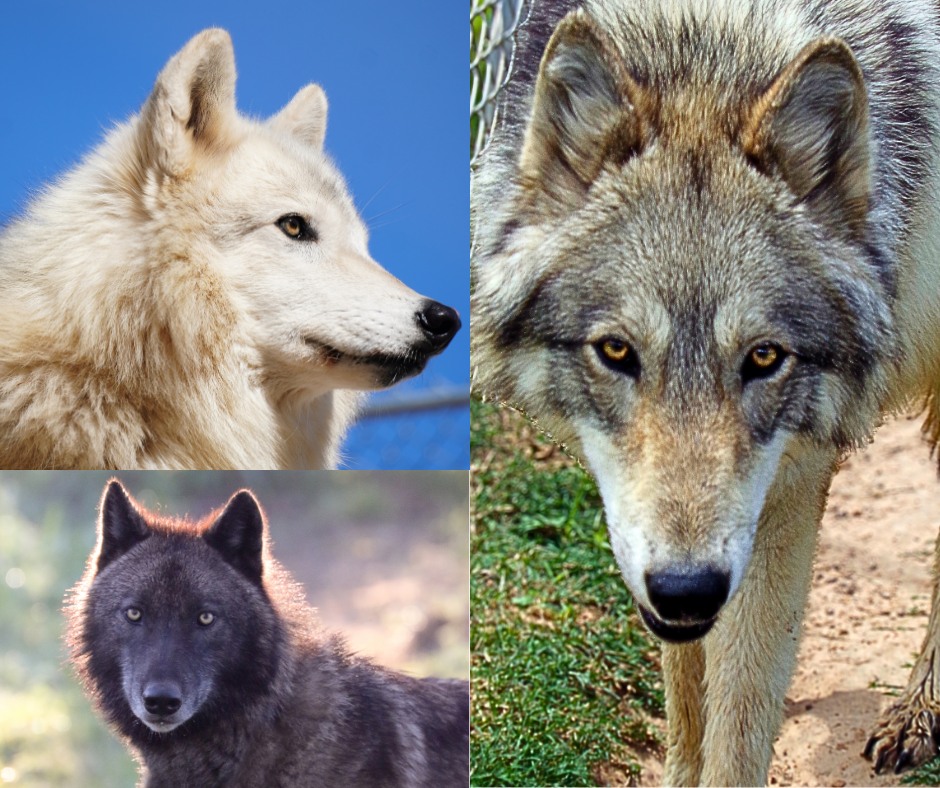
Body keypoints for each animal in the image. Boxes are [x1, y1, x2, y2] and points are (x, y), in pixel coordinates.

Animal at [471, 0, 940, 783]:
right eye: (617, 351)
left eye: (764, 357)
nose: (687, 588)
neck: (711, 45)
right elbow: (690, 698)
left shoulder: (794, 481)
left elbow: (742, 710)